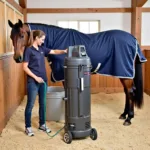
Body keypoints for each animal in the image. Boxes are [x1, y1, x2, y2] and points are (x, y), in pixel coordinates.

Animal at [7, 19, 146, 126]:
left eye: (22, 35)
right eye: (11, 37)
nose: (17, 58)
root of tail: (133, 39)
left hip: (125, 74)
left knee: (130, 92)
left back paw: (129, 118)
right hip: (123, 74)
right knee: (127, 92)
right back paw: (124, 114)